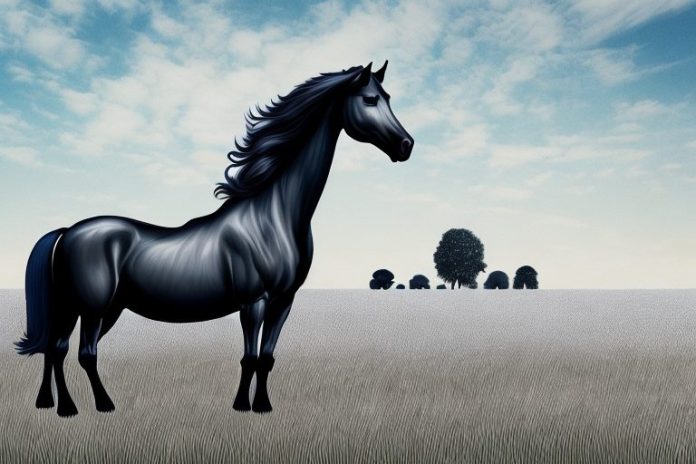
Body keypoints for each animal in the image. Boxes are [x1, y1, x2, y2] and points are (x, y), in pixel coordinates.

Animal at [16, 61, 413, 417]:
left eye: (388, 97)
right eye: (370, 99)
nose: (406, 145)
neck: (273, 217)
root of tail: (68, 231)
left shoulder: (283, 301)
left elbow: (267, 358)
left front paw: (264, 405)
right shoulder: (254, 301)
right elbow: (249, 357)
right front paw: (242, 406)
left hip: (96, 308)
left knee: (55, 349)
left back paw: (52, 404)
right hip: (89, 307)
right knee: (80, 353)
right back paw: (92, 406)